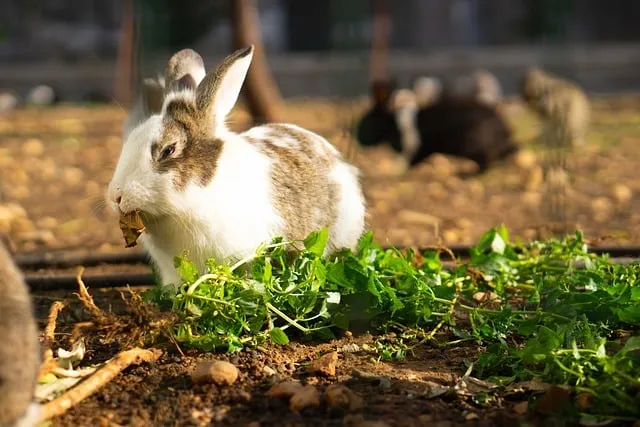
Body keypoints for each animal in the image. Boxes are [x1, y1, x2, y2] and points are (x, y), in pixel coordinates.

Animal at [356, 79, 519, 175]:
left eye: (365, 123)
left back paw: (464, 174)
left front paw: (392, 171)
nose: (358, 140)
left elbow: (406, 162)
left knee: (486, 164)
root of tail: (504, 134)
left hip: (475, 146)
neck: (393, 124)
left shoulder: (414, 148)